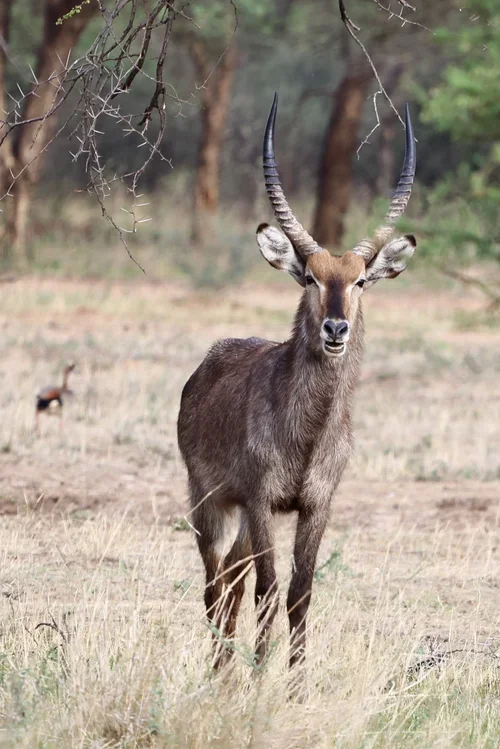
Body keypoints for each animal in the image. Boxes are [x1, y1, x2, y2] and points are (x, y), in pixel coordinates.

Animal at [178, 93, 416, 670]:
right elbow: (268, 589)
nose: (335, 329)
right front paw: (261, 678)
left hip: (241, 515)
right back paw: (219, 670)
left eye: (360, 280)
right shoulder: (263, 501)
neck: (308, 432)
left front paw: (294, 680)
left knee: (231, 579)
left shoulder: (316, 505)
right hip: (210, 502)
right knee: (215, 583)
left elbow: (299, 593)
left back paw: (226, 668)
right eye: (310, 277)